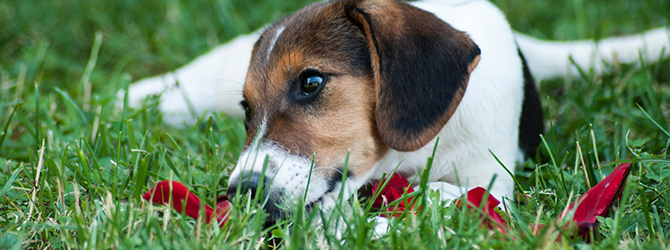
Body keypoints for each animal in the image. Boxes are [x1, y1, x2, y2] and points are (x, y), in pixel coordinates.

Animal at [123, 0, 670, 224]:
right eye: (247, 109)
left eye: (312, 82)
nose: (242, 193)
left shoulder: (489, 178)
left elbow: (461, 194)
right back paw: (139, 95)